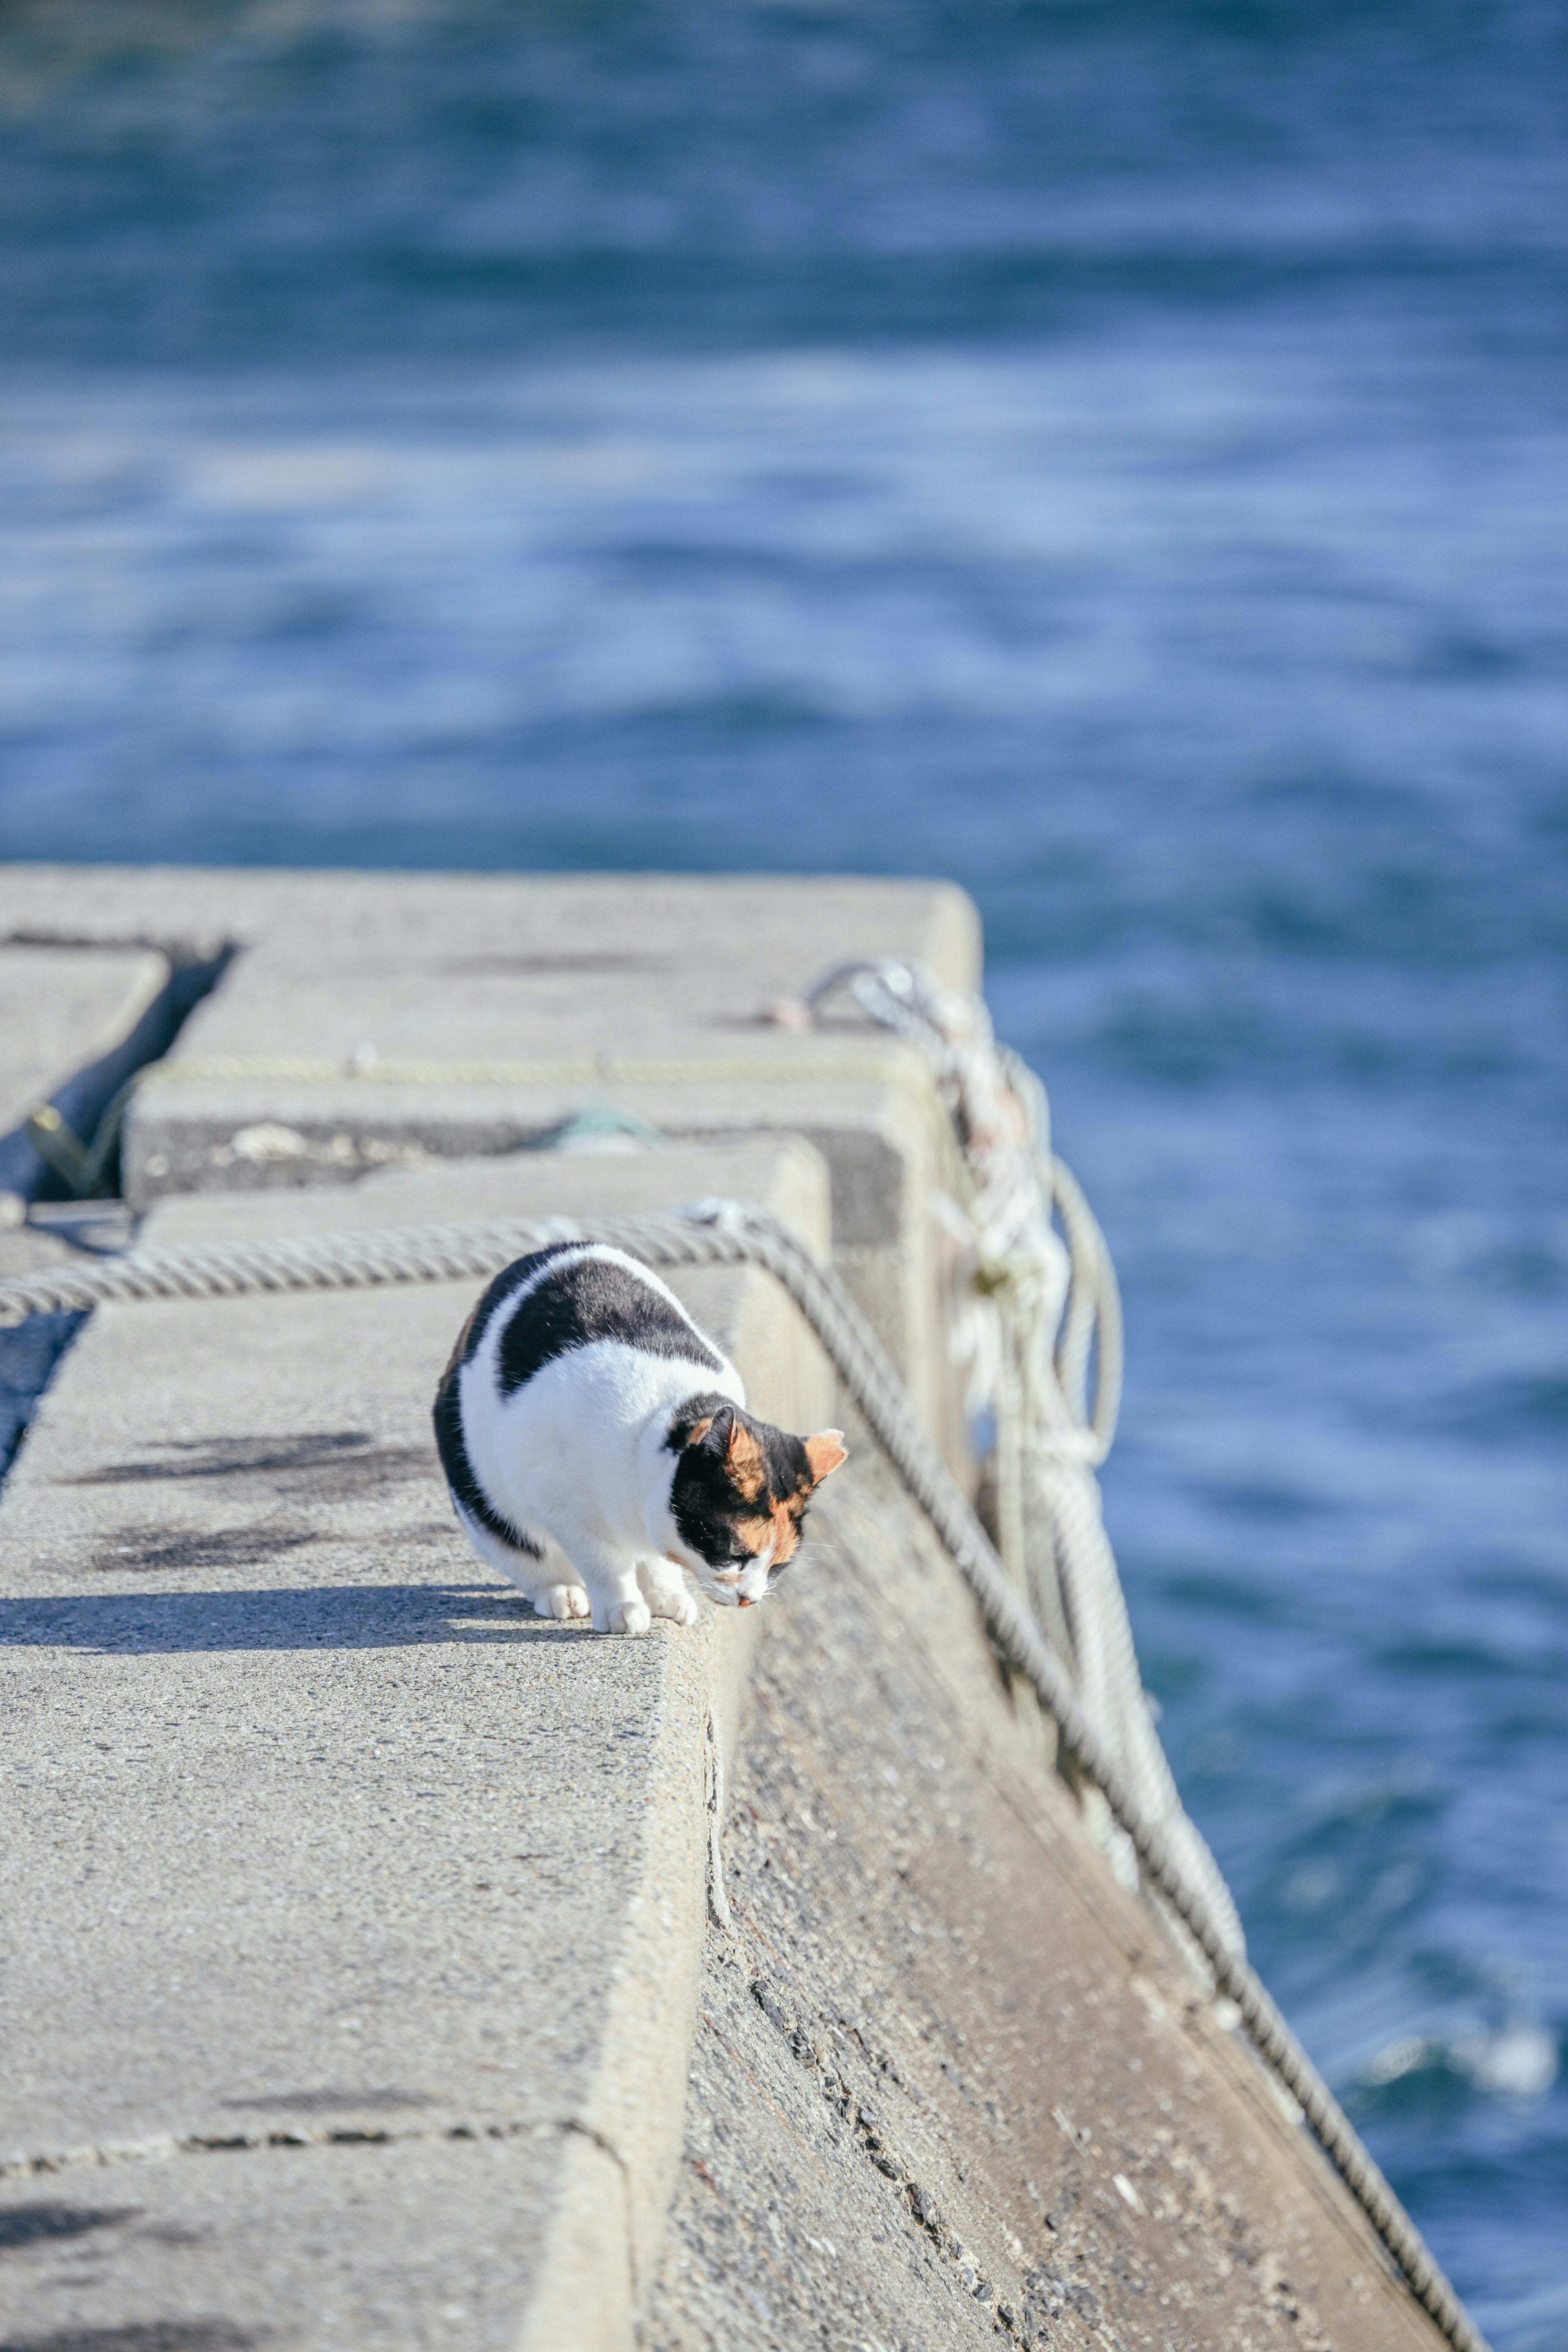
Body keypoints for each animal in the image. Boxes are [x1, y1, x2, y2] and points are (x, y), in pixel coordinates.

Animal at [430, 1251, 846, 1637]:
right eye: (734, 1553)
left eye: (779, 1565)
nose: (750, 1599)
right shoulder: (558, 1500)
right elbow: (603, 1562)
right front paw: (622, 1607)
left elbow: (659, 1559)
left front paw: (666, 1597)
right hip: (483, 1495)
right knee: (524, 1552)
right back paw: (563, 1593)